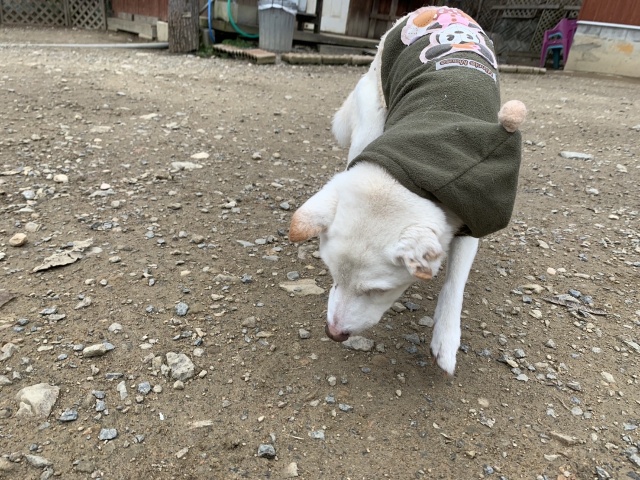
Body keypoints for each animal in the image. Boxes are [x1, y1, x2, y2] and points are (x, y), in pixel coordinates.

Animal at [289, 6, 526, 375]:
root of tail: (431, 9)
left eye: (377, 290)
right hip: (374, 111)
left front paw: (446, 339)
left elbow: (455, 281)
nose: (333, 333)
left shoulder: (476, 207)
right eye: (332, 275)